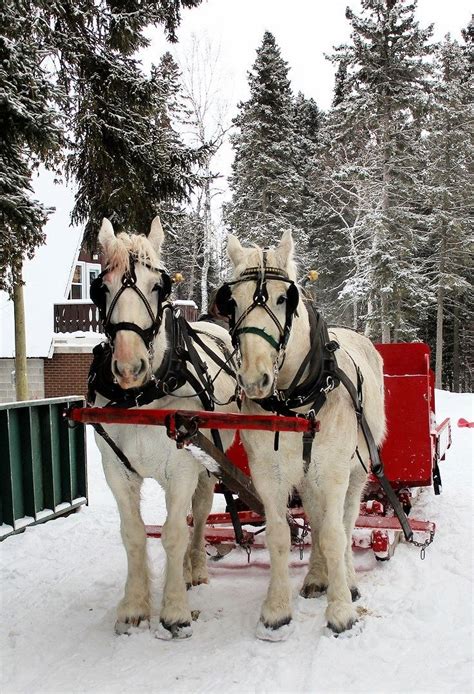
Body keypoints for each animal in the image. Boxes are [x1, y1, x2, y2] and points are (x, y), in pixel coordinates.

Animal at [91, 220, 236, 640]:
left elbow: (173, 532)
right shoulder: (116, 470)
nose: (128, 367)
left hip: (209, 460)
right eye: (101, 287)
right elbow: (134, 533)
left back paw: (195, 569)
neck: (142, 396)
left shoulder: (184, 467)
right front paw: (133, 607)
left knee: (198, 514)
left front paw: (174, 611)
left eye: (159, 285)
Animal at [218, 232, 386, 640]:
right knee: (316, 518)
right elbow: (281, 535)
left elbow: (335, 533)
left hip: (356, 472)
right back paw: (316, 578)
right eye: (233, 301)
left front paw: (341, 610)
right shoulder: (269, 473)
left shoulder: (335, 472)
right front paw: (277, 609)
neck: (297, 400)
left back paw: (348, 580)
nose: (254, 379)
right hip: (308, 478)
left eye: (284, 298)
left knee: (345, 521)